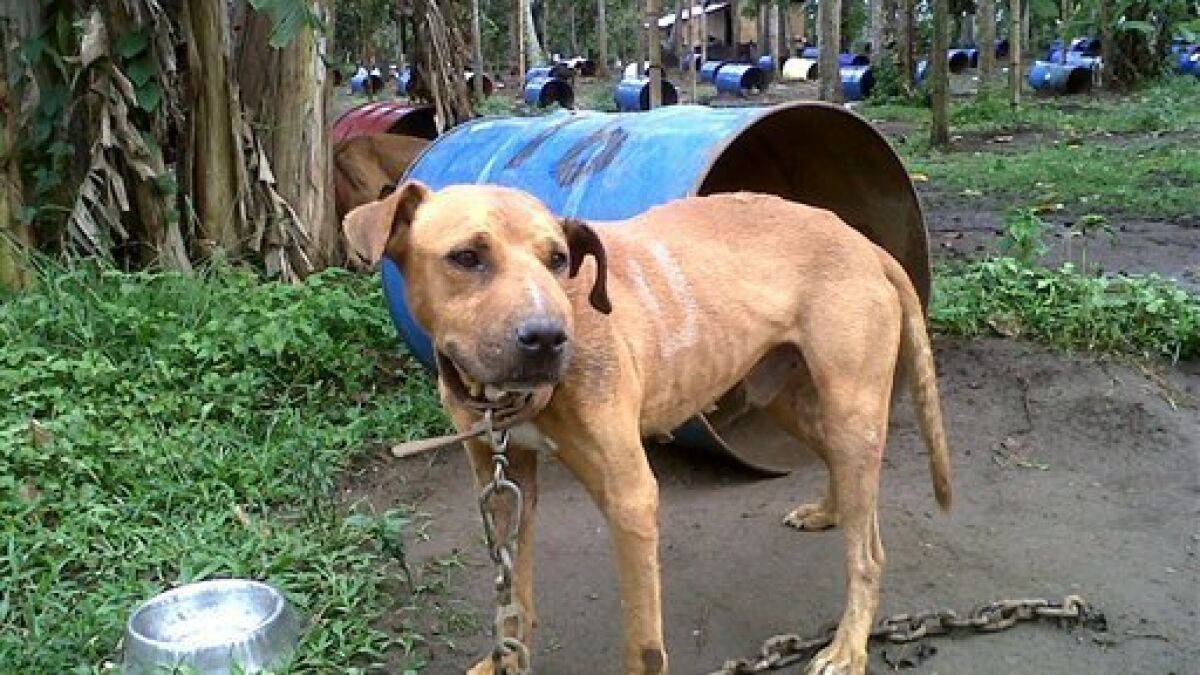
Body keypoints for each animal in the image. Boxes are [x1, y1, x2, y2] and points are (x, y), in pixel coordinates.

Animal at [343, 181, 950, 667]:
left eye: (558, 259)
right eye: (467, 257)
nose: (548, 338)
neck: (505, 400)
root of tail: (861, 241)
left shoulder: (630, 496)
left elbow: (643, 641)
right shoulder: (503, 488)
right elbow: (515, 600)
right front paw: (504, 663)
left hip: (850, 408)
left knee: (868, 554)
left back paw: (847, 649)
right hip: (790, 402)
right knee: (849, 488)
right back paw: (831, 511)